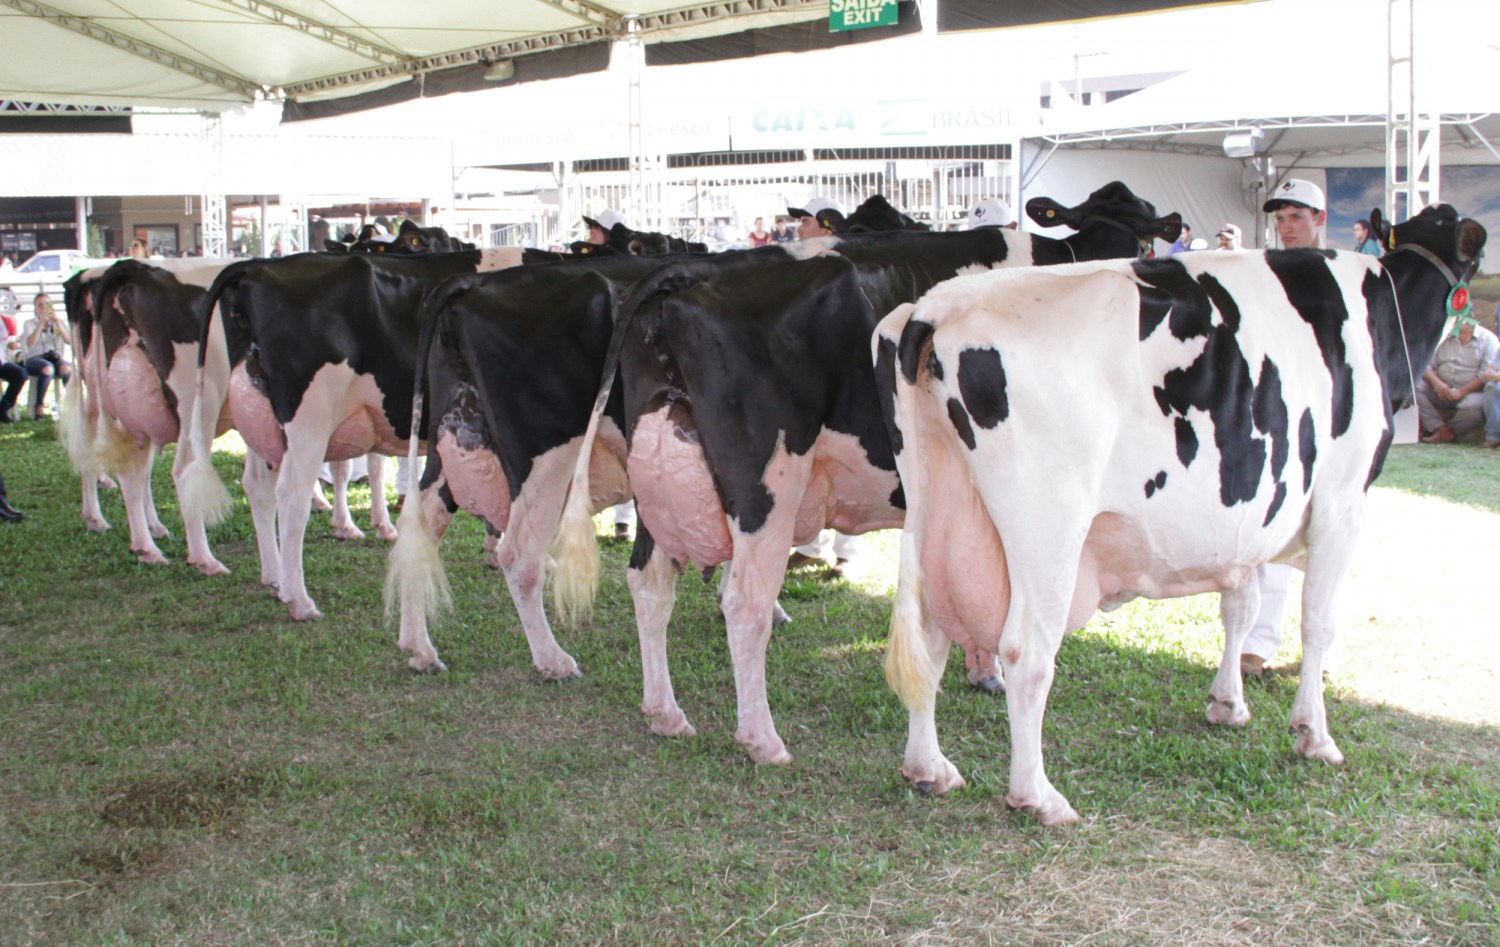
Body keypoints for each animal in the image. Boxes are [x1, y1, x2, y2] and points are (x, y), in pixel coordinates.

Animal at [180, 244, 522, 618]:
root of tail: (256, 267)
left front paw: (493, 548)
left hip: (263, 420)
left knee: (258, 486)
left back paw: (274, 579)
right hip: (308, 419)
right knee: (291, 496)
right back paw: (299, 600)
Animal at [555, 181, 1182, 768]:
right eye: (1146, 240)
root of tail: (690, 269)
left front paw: (981, 670)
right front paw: (988, 674)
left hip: (659, 465)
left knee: (649, 581)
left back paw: (665, 712)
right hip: (765, 483)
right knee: (744, 603)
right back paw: (763, 739)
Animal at [882, 205, 1482, 822]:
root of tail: (939, 305)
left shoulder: (1248, 521)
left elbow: (1241, 607)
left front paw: (1228, 703)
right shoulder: (1343, 500)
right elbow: (1318, 621)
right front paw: (1314, 734)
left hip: (934, 506)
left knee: (927, 639)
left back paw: (930, 768)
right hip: (1047, 527)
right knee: (1026, 650)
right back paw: (1039, 795)